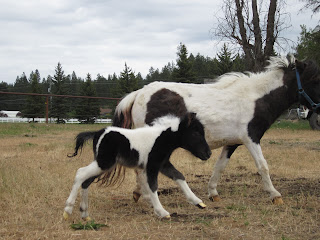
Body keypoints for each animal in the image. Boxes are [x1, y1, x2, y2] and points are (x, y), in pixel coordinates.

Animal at [112, 56, 320, 204]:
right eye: (314, 78)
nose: (318, 109)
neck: (256, 98)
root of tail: (139, 93)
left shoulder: (233, 143)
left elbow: (220, 166)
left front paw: (213, 193)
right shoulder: (251, 139)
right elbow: (263, 166)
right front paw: (275, 195)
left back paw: (139, 194)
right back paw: (147, 196)